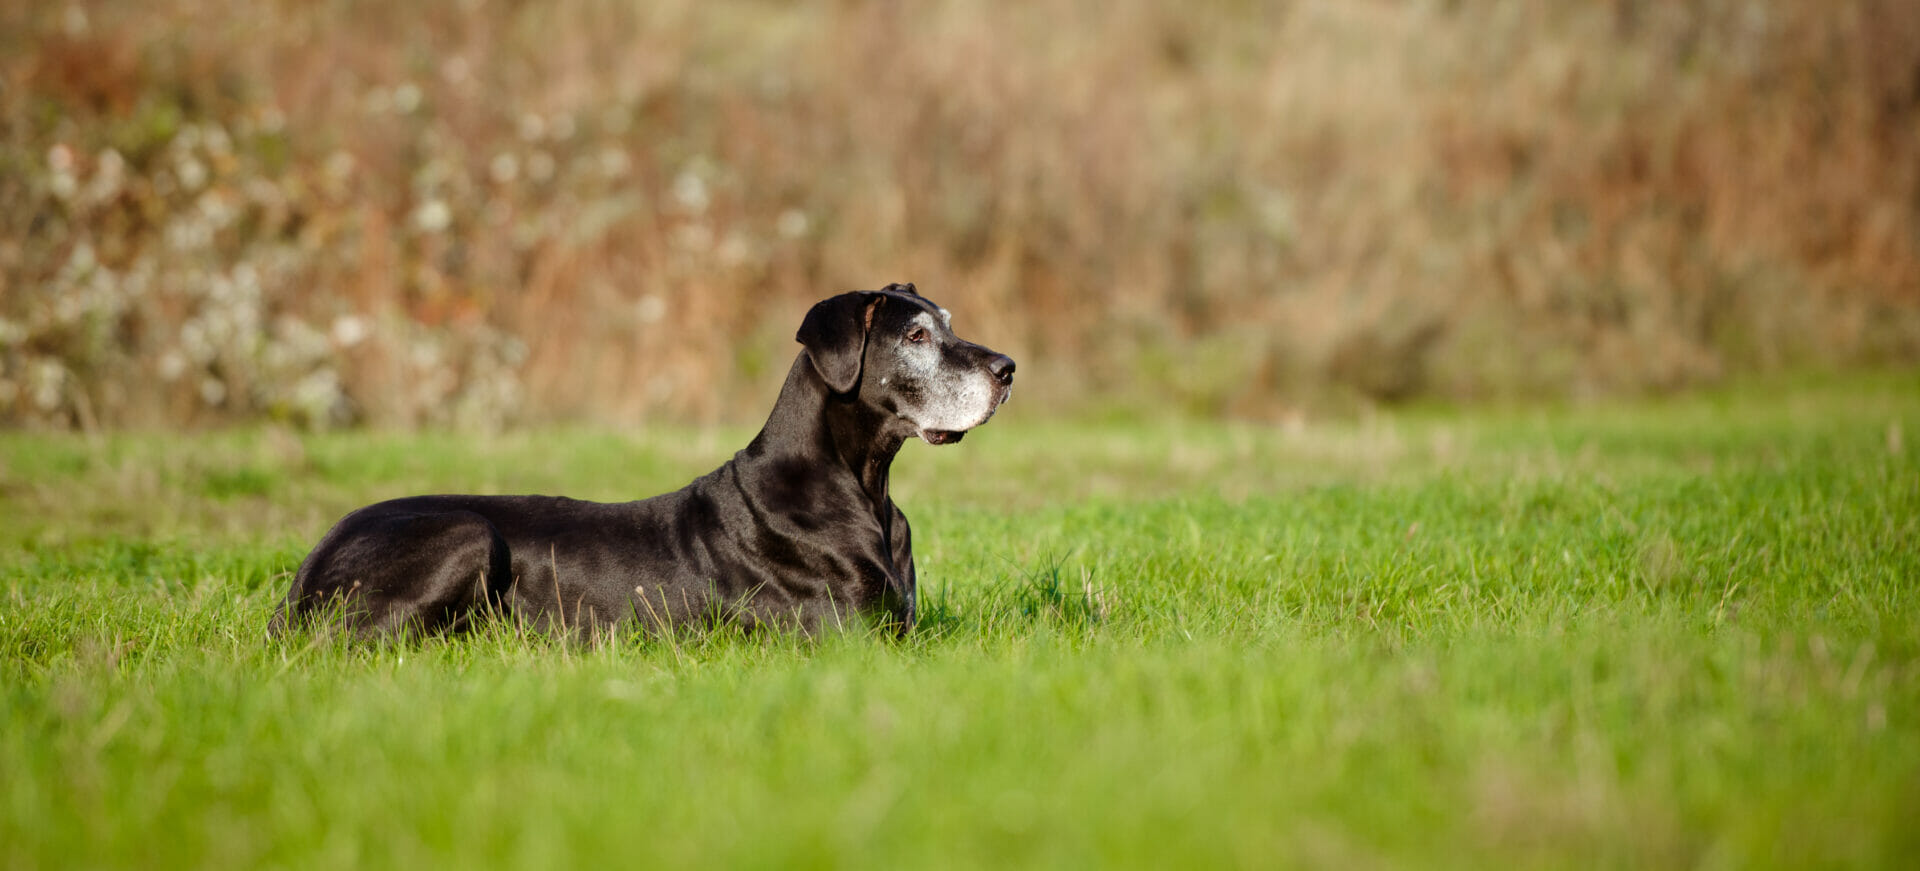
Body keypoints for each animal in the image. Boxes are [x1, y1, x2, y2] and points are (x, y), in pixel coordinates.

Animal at [276, 285, 1021, 640]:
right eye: (916, 337)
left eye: (947, 323)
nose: (1008, 368)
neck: (861, 483)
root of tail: (309, 563)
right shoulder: (852, 637)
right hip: (466, 534)